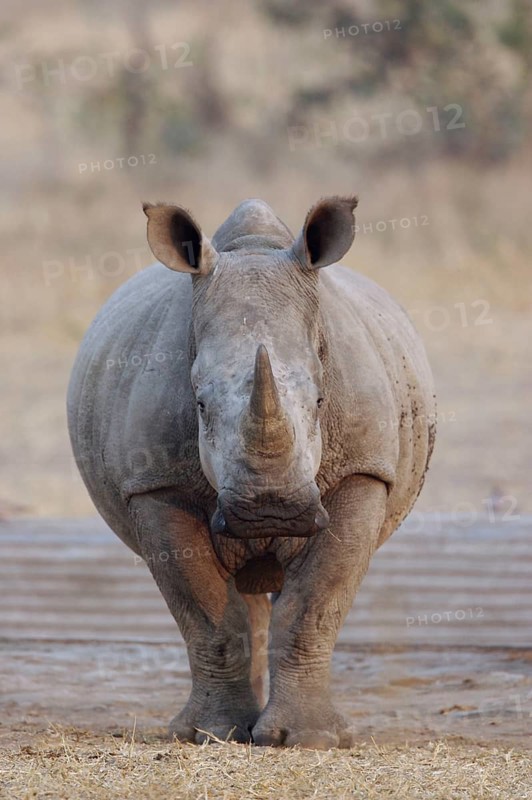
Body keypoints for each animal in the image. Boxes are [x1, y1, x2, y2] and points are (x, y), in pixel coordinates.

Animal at [67, 196, 435, 749]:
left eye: (322, 401)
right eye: (199, 405)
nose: (270, 510)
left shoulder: (364, 472)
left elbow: (314, 604)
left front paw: (307, 740)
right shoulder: (157, 485)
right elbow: (206, 613)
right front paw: (210, 734)